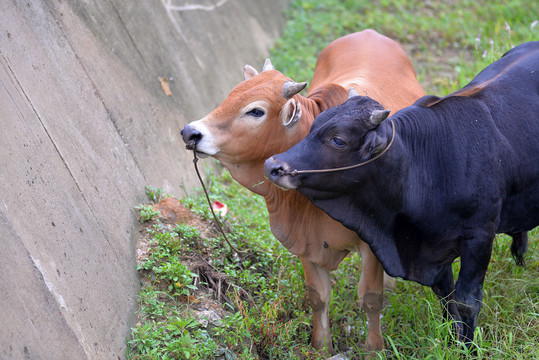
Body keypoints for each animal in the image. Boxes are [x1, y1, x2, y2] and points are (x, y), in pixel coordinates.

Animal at [181, 28, 426, 354]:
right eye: (229, 96)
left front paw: (373, 349)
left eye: (255, 111)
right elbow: (318, 296)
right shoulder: (305, 243)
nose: (191, 132)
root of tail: (370, 32)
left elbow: (371, 299)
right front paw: (321, 346)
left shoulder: (371, 243)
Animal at [266, 42, 539, 346]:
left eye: (338, 140)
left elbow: (467, 299)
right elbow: (445, 293)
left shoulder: (479, 236)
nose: (273, 166)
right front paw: (450, 336)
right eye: (313, 126)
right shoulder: (432, 247)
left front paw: (465, 346)